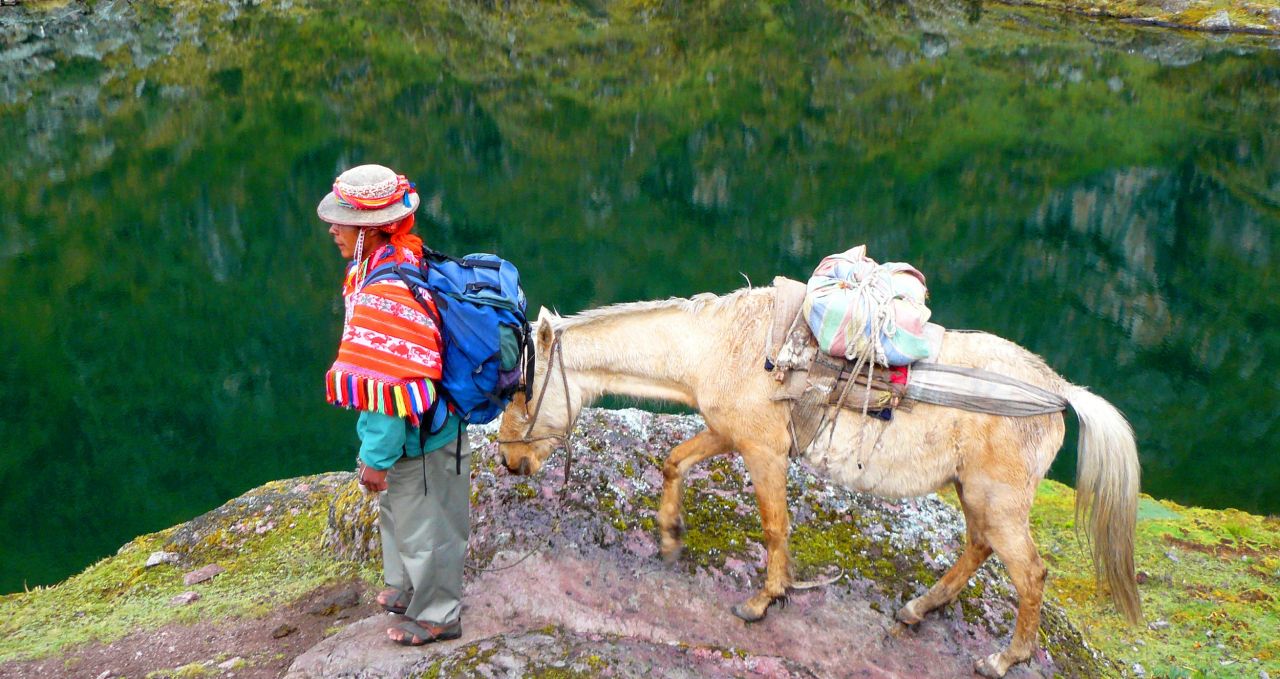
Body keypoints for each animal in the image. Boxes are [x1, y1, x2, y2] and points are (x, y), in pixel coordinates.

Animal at [496, 283, 1141, 671]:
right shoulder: (730, 433)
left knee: (1030, 574)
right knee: (979, 547)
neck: (721, 346)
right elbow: (675, 461)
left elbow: (775, 527)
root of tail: (1058, 393)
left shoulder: (763, 451)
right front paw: (670, 536)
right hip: (973, 492)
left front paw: (763, 601)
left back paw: (1005, 659)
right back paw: (917, 609)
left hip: (999, 500)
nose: (509, 461)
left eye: (521, 390)